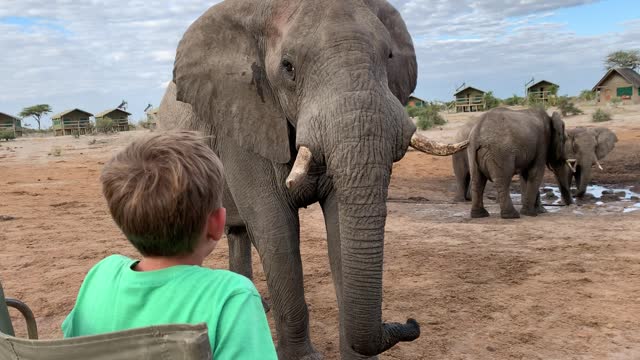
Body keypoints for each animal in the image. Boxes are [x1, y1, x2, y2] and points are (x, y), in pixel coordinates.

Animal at [158, 1, 468, 358]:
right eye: (288, 67)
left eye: (389, 56)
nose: (411, 323)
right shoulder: (244, 121)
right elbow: (275, 227)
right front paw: (304, 358)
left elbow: (340, 225)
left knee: (239, 233)